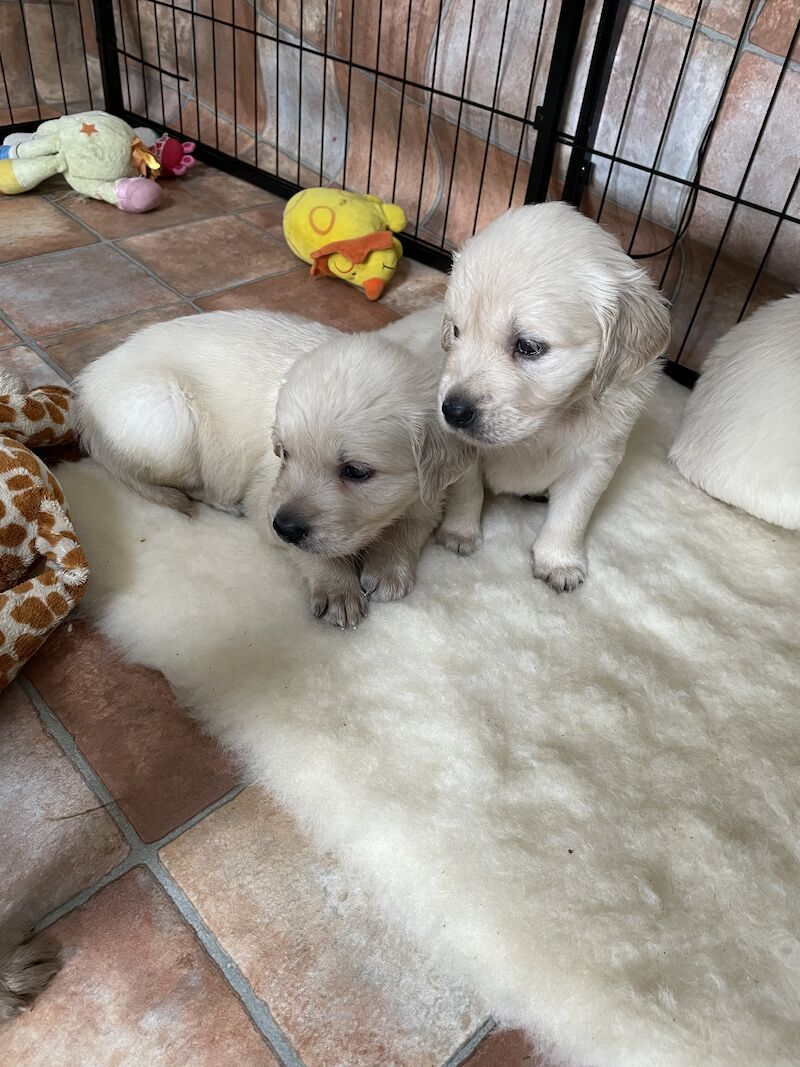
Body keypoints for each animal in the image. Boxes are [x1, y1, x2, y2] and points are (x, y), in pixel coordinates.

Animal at [75, 309, 469, 623]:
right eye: (285, 453)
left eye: (356, 471)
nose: (286, 527)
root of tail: (83, 394)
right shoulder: (265, 496)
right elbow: (310, 552)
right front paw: (337, 588)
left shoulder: (431, 493)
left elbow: (409, 527)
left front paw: (388, 570)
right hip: (171, 421)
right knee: (181, 483)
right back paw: (222, 501)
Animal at [439, 201, 669, 593]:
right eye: (456, 331)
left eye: (529, 346)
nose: (452, 411)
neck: (549, 422)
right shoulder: (464, 449)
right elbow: (467, 490)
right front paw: (458, 533)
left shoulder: (596, 460)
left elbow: (571, 515)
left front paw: (559, 561)